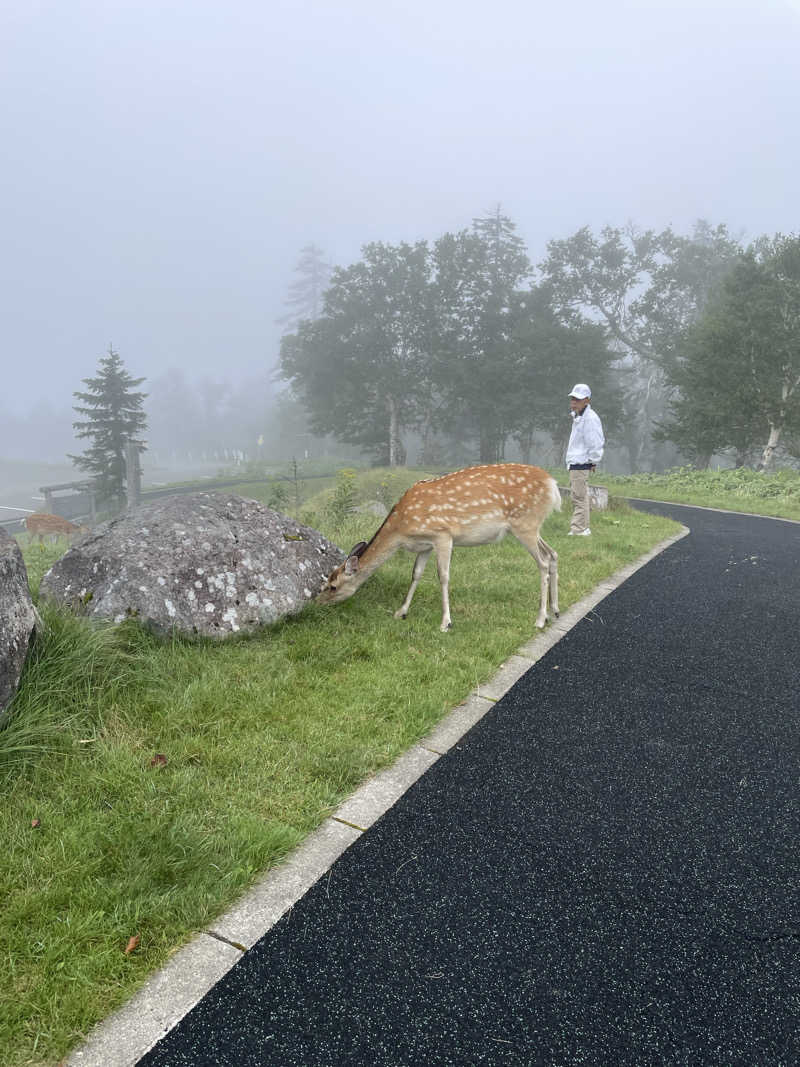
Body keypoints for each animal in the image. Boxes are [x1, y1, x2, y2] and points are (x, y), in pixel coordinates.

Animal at [315, 460, 558, 627]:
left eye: (332, 586)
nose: (318, 603)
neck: (401, 530)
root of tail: (553, 485)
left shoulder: (443, 534)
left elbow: (443, 576)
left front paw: (446, 622)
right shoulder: (425, 545)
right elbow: (416, 574)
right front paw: (401, 612)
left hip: (525, 524)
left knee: (543, 562)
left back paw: (540, 618)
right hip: (532, 527)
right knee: (553, 554)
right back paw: (554, 610)